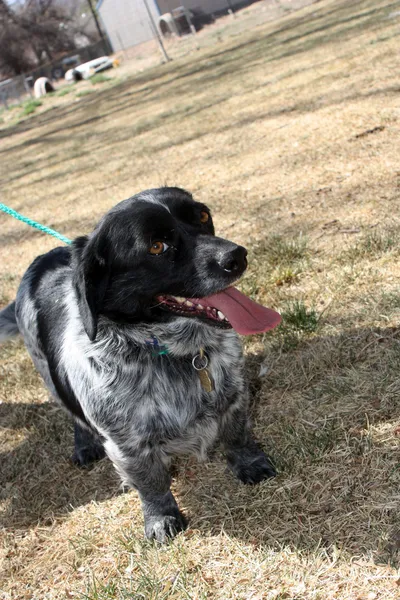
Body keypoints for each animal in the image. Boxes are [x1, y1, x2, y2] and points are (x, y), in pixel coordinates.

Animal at [0, 185, 282, 540]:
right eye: (156, 246)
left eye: (203, 216)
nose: (237, 256)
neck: (172, 353)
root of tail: (43, 259)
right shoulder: (126, 445)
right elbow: (151, 482)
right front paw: (160, 518)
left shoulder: (235, 397)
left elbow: (238, 436)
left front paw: (250, 464)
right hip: (47, 373)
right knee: (73, 414)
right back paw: (84, 445)